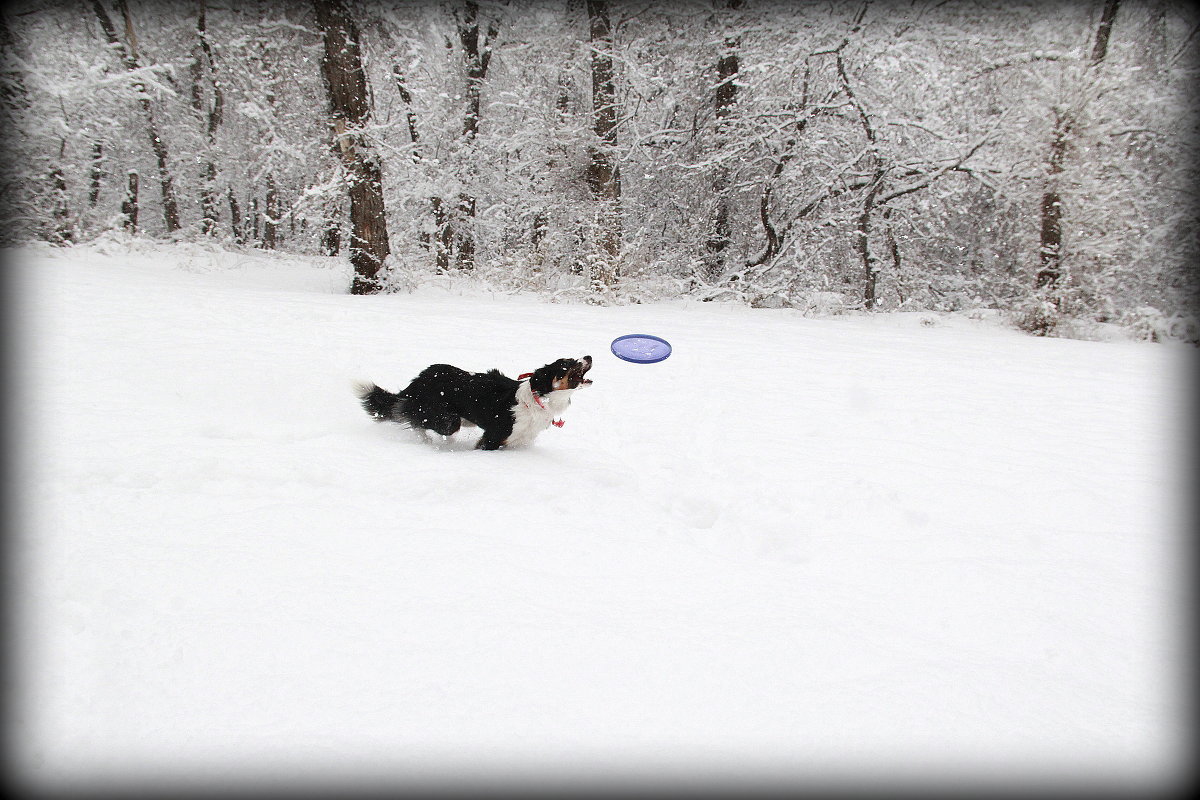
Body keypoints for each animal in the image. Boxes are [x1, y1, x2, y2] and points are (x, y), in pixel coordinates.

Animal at [352, 357, 592, 450]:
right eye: (567, 363)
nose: (589, 356)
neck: (539, 399)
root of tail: (418, 381)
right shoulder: (493, 437)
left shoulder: (519, 441)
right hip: (448, 419)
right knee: (413, 417)